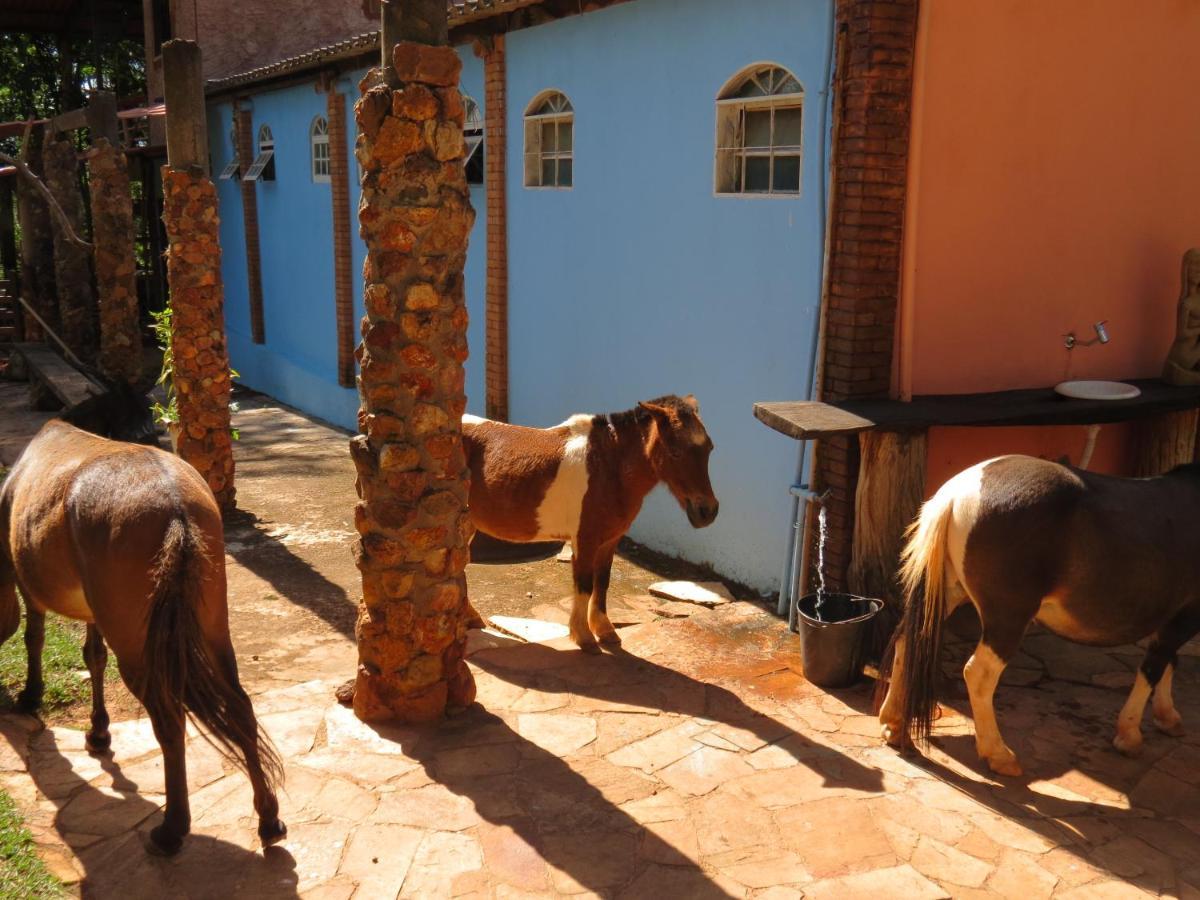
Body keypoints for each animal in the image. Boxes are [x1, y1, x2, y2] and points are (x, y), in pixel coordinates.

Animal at [463, 393, 715, 648]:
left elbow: (601, 582)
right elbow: (584, 584)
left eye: (709, 449)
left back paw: (471, 618)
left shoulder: (610, 541)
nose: (707, 511)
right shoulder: (585, 540)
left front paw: (605, 630)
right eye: (675, 452)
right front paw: (584, 636)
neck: (608, 466)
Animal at [878, 453, 1200, 777]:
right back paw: (999, 754)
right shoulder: (1185, 616)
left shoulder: (1174, 619)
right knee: (979, 674)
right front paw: (1130, 735)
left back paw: (895, 725)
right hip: (1008, 617)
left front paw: (1167, 716)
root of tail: (958, 492)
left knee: (906, 642)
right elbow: (1153, 667)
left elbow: (1169, 662)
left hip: (948, 594)